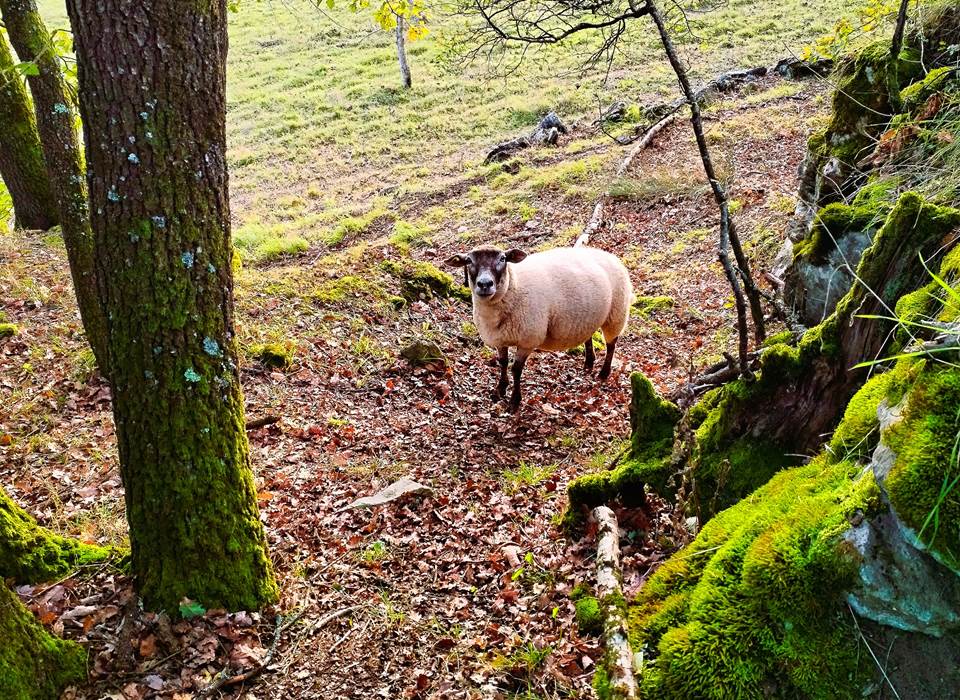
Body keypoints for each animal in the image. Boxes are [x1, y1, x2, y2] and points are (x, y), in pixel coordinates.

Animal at [445, 243, 632, 411]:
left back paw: (604, 372)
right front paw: (500, 389)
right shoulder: (499, 338)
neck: (513, 286)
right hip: (589, 316)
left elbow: (516, 369)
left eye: (503, 259)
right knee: (589, 335)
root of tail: (608, 255)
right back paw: (589, 363)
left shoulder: (528, 340)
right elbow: (503, 363)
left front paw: (514, 401)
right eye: (469, 260)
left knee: (611, 344)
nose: (485, 284)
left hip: (616, 313)